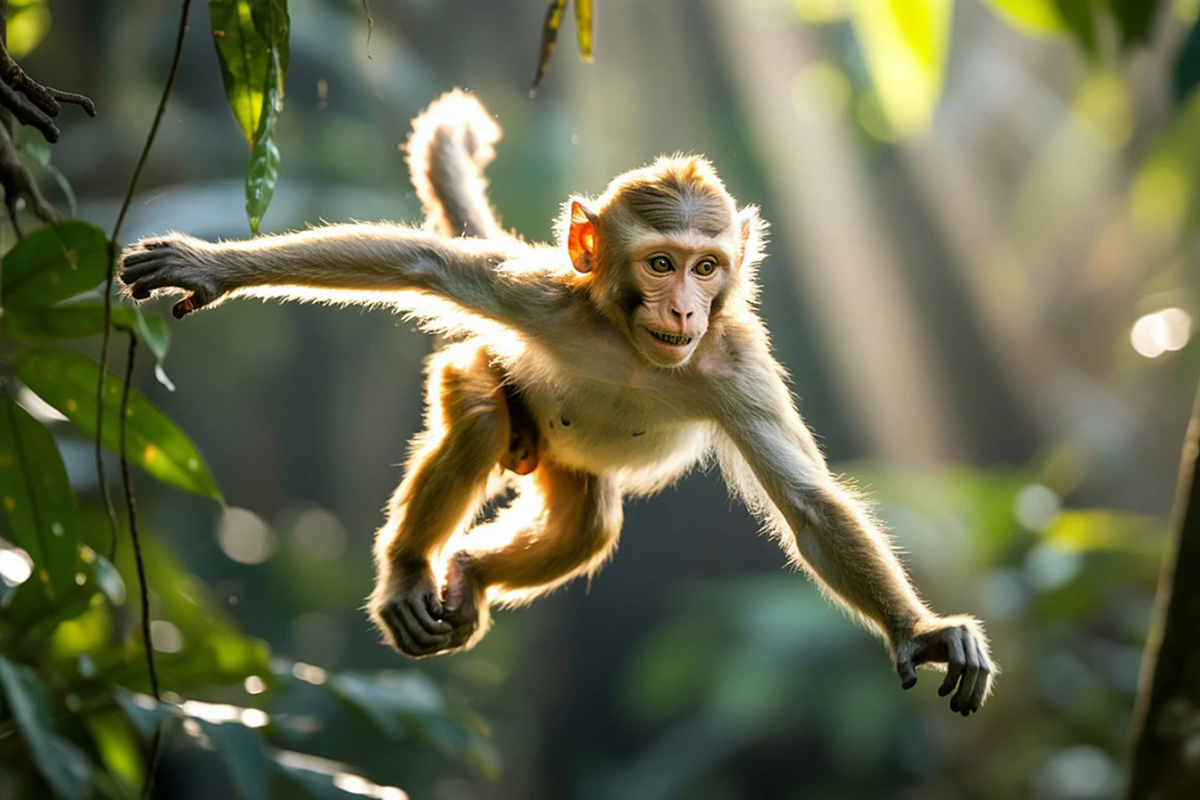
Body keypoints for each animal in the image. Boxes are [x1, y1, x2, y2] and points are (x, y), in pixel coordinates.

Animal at [119, 90, 995, 716]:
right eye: (662, 263)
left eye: (708, 266)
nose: (684, 308)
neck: (637, 352)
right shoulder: (541, 298)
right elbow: (419, 263)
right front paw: (212, 266)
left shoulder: (737, 368)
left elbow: (811, 505)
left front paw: (920, 633)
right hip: (478, 367)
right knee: (479, 417)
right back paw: (409, 571)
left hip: (563, 466)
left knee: (588, 523)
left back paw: (470, 572)